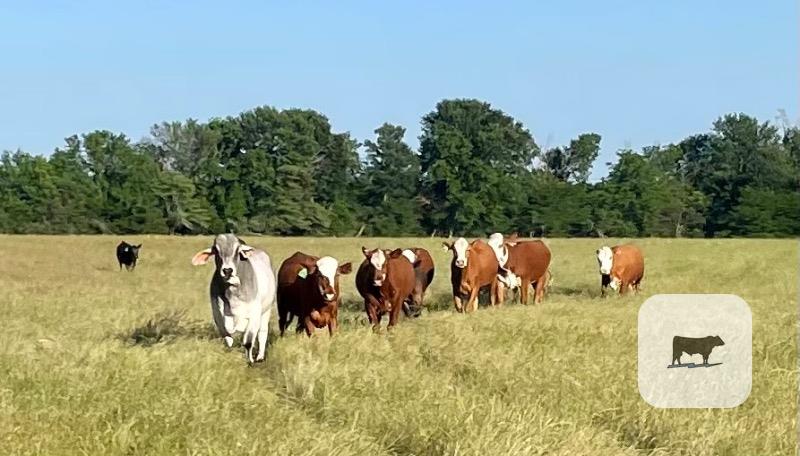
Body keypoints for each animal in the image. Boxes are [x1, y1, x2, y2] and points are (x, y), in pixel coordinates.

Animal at [191, 234, 276, 364]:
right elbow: (228, 339)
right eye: (216, 250)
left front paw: (250, 361)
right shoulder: (218, 316)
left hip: (266, 310)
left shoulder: (254, 315)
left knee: (262, 333)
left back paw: (260, 357)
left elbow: (248, 342)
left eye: (237, 250)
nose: (227, 270)